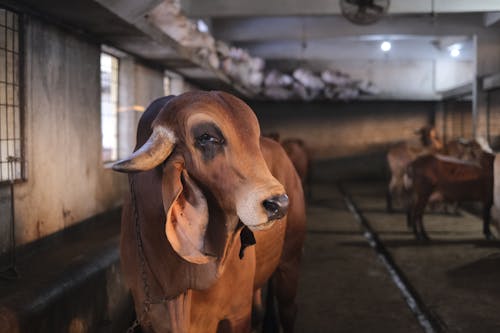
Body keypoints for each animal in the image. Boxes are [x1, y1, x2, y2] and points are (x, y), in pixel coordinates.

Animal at [113, 91, 306, 332]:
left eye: (254, 139)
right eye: (206, 137)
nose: (279, 203)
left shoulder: (237, 314)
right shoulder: (148, 316)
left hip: (290, 261)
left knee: (289, 309)